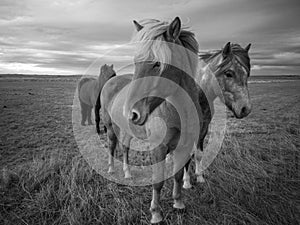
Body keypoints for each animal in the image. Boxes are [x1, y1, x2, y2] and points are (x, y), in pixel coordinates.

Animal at [102, 17, 203, 223]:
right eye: (136, 62)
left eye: (157, 63)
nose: (132, 113)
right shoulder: (158, 148)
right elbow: (158, 182)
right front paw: (156, 213)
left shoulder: (184, 145)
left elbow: (178, 175)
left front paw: (178, 203)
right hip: (110, 127)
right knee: (112, 146)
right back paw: (111, 169)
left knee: (125, 147)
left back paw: (127, 172)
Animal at [182, 41, 252, 188]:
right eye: (228, 73)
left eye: (247, 74)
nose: (246, 109)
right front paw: (186, 182)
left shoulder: (203, 129)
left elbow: (198, 154)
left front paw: (199, 177)